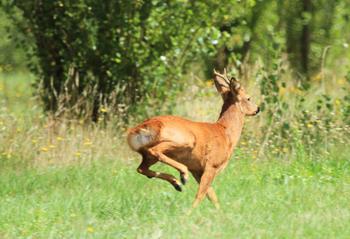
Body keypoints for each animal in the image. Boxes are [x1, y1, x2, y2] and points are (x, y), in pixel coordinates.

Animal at [127, 68, 258, 208]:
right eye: (249, 98)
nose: (258, 109)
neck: (225, 132)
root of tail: (140, 129)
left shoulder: (197, 170)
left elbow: (212, 197)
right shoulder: (212, 165)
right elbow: (200, 195)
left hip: (148, 154)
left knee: (141, 168)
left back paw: (177, 184)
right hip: (184, 140)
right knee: (155, 151)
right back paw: (183, 176)